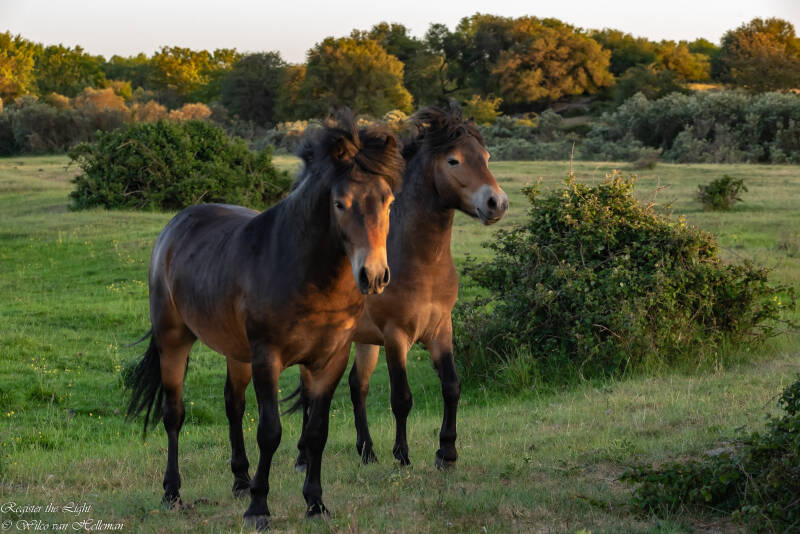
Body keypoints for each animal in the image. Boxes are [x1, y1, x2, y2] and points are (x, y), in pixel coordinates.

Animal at [125, 111, 404, 529]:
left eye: (387, 202)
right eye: (340, 203)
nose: (373, 275)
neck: (304, 273)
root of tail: (175, 226)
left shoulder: (329, 360)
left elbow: (316, 432)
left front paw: (315, 503)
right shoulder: (266, 357)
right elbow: (270, 432)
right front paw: (259, 508)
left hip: (236, 353)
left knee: (233, 404)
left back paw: (240, 479)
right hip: (174, 340)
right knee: (173, 414)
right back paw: (172, 492)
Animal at [288, 102, 509, 470]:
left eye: (487, 157)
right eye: (454, 160)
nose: (497, 203)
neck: (423, 261)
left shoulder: (440, 329)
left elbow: (452, 385)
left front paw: (446, 452)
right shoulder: (396, 335)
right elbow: (401, 397)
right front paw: (403, 455)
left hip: (363, 341)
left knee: (357, 386)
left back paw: (367, 451)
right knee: (310, 392)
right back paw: (304, 456)